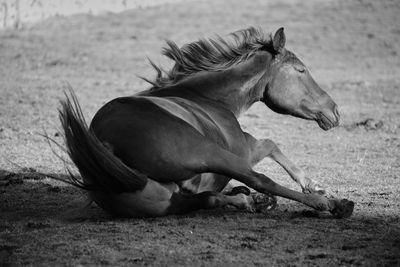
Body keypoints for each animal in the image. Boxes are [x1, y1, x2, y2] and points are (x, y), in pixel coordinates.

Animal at [59, 26, 354, 219]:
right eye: (301, 70)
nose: (335, 111)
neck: (205, 96)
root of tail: (106, 147)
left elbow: (271, 146)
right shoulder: (244, 149)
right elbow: (271, 145)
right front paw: (315, 187)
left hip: (169, 202)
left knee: (207, 199)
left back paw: (247, 200)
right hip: (211, 153)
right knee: (260, 180)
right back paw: (330, 204)